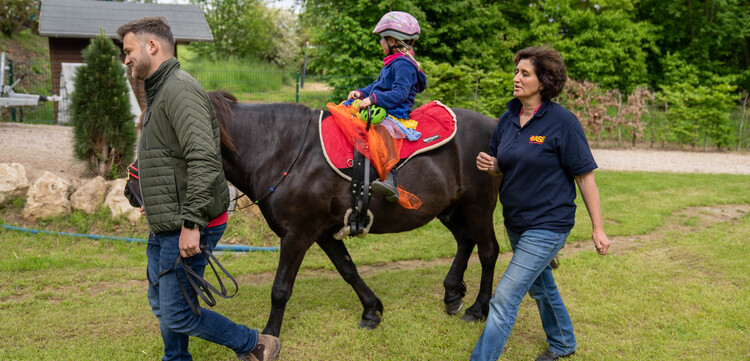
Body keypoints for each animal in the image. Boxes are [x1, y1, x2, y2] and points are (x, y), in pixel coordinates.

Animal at [209, 91, 502, 336]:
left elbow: (280, 288)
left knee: (488, 251)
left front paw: (269, 336)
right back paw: (452, 294)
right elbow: (348, 269)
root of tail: (494, 125)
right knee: (466, 240)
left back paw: (478, 308)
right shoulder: (324, 233)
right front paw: (371, 310)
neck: (285, 152)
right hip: (452, 209)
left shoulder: (297, 234)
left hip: (478, 206)